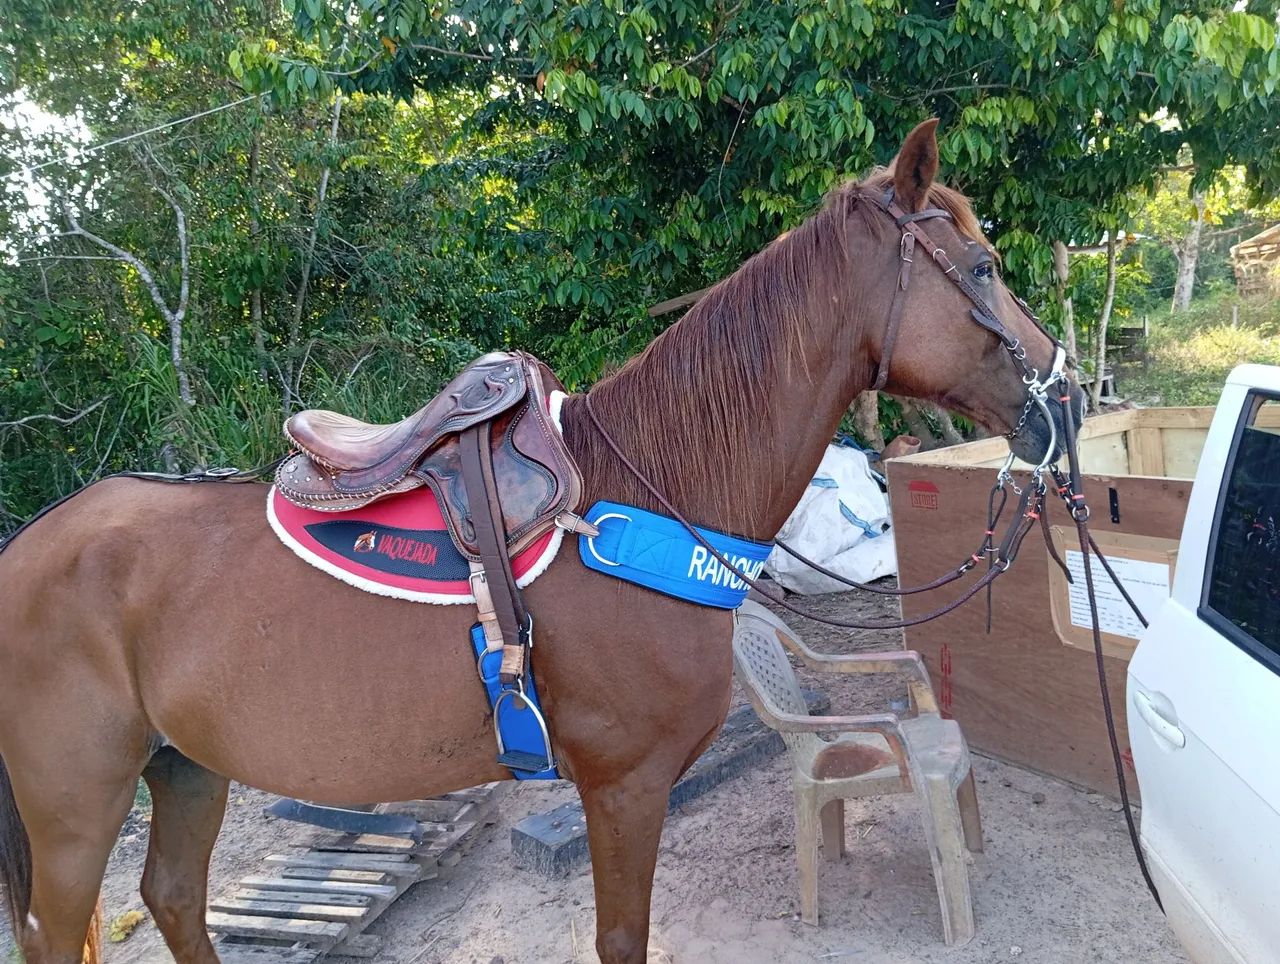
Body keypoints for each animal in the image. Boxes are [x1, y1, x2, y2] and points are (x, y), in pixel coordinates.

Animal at [0, 119, 1083, 964]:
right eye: (981, 268)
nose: (1065, 400)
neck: (645, 496)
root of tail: (27, 545)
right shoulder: (622, 789)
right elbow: (620, 937)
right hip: (76, 805)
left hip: (184, 766)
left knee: (176, 900)